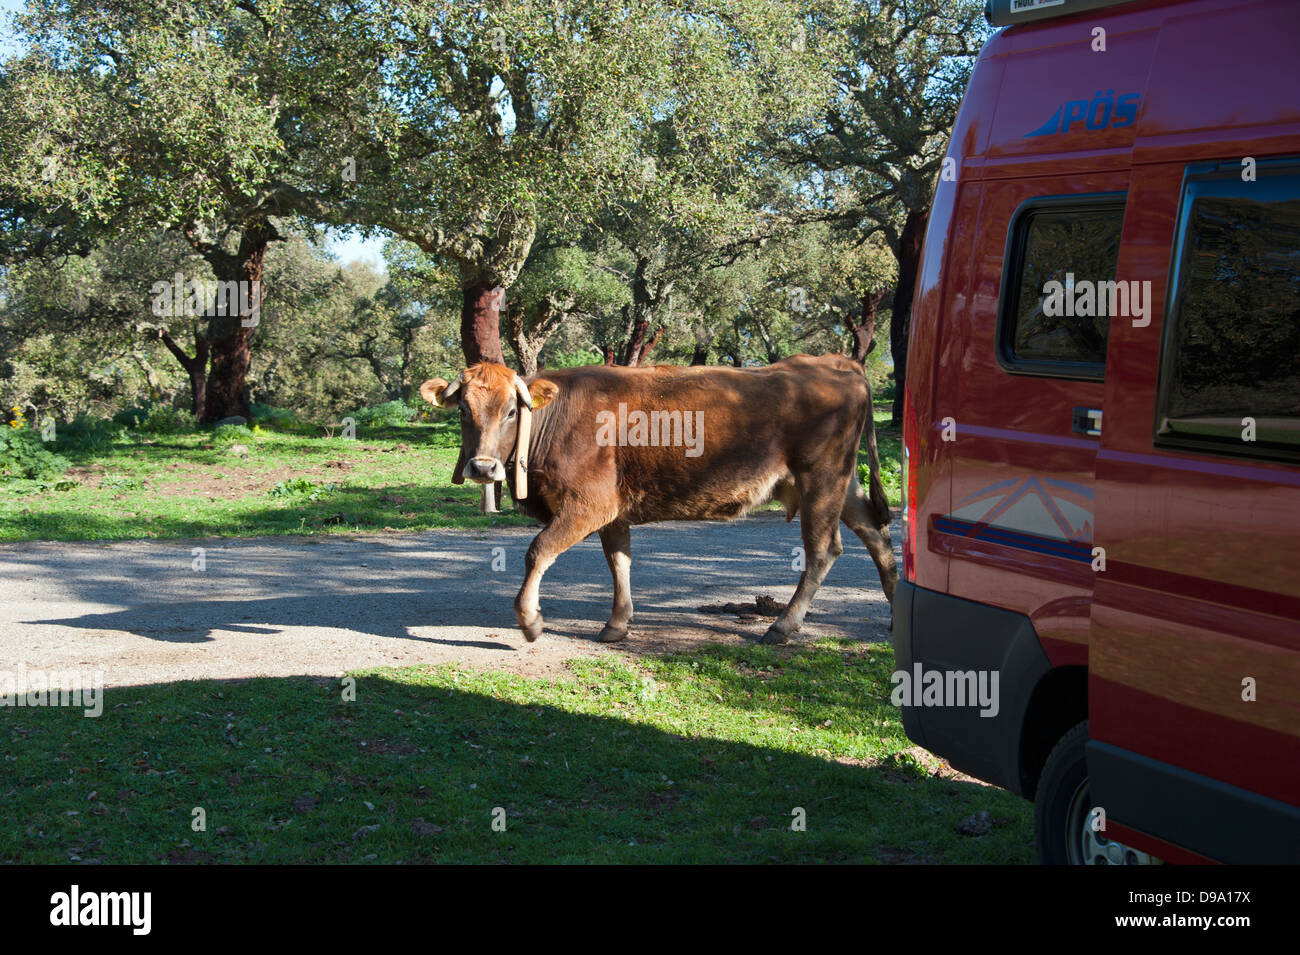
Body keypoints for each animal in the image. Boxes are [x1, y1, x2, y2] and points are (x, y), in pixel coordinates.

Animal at [421, 356, 899, 647]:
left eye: (511, 412)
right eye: (463, 410)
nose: (482, 468)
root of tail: (836, 362)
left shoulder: (588, 504)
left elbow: (538, 551)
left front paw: (531, 620)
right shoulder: (612, 509)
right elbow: (619, 561)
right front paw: (617, 623)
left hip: (821, 479)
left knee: (823, 550)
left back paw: (782, 625)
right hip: (842, 483)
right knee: (876, 533)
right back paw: (897, 610)